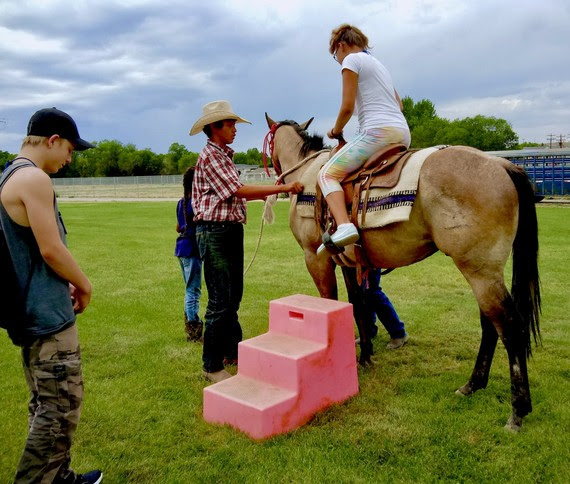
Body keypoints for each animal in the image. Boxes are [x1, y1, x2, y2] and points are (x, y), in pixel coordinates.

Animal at [264, 113, 540, 432]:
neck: (308, 174)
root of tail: (501, 164)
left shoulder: (316, 259)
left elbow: (330, 303)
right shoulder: (349, 264)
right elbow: (358, 307)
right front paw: (364, 357)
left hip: (480, 271)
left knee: (511, 328)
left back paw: (517, 411)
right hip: (484, 272)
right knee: (490, 325)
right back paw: (472, 385)